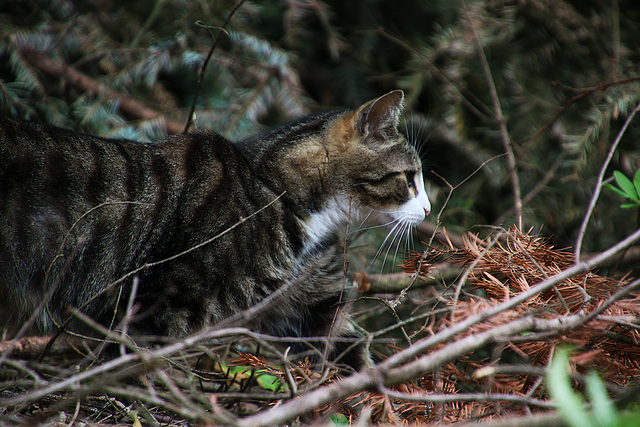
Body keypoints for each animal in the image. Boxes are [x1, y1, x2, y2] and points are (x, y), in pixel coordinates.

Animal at [0, 91, 432, 372]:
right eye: (410, 178)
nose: (429, 209)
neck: (276, 192)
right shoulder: (159, 303)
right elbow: (148, 368)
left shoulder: (308, 305)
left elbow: (348, 349)